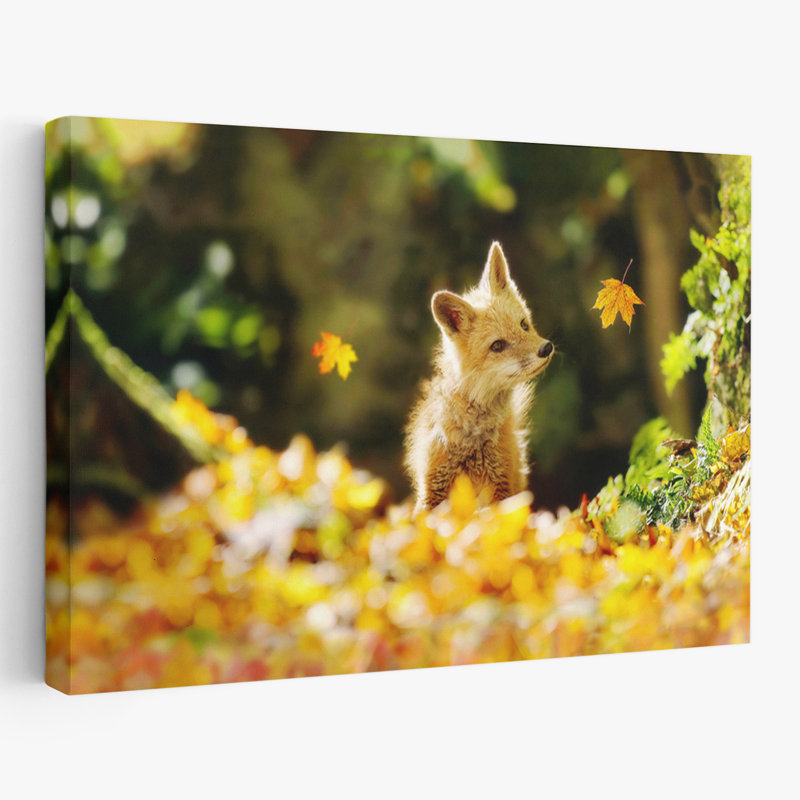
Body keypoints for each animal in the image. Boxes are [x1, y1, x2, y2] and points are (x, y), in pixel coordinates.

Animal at [404, 241, 554, 513]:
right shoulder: (432, 487)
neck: (472, 441)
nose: (546, 348)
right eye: (497, 346)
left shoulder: (501, 487)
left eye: (524, 325)